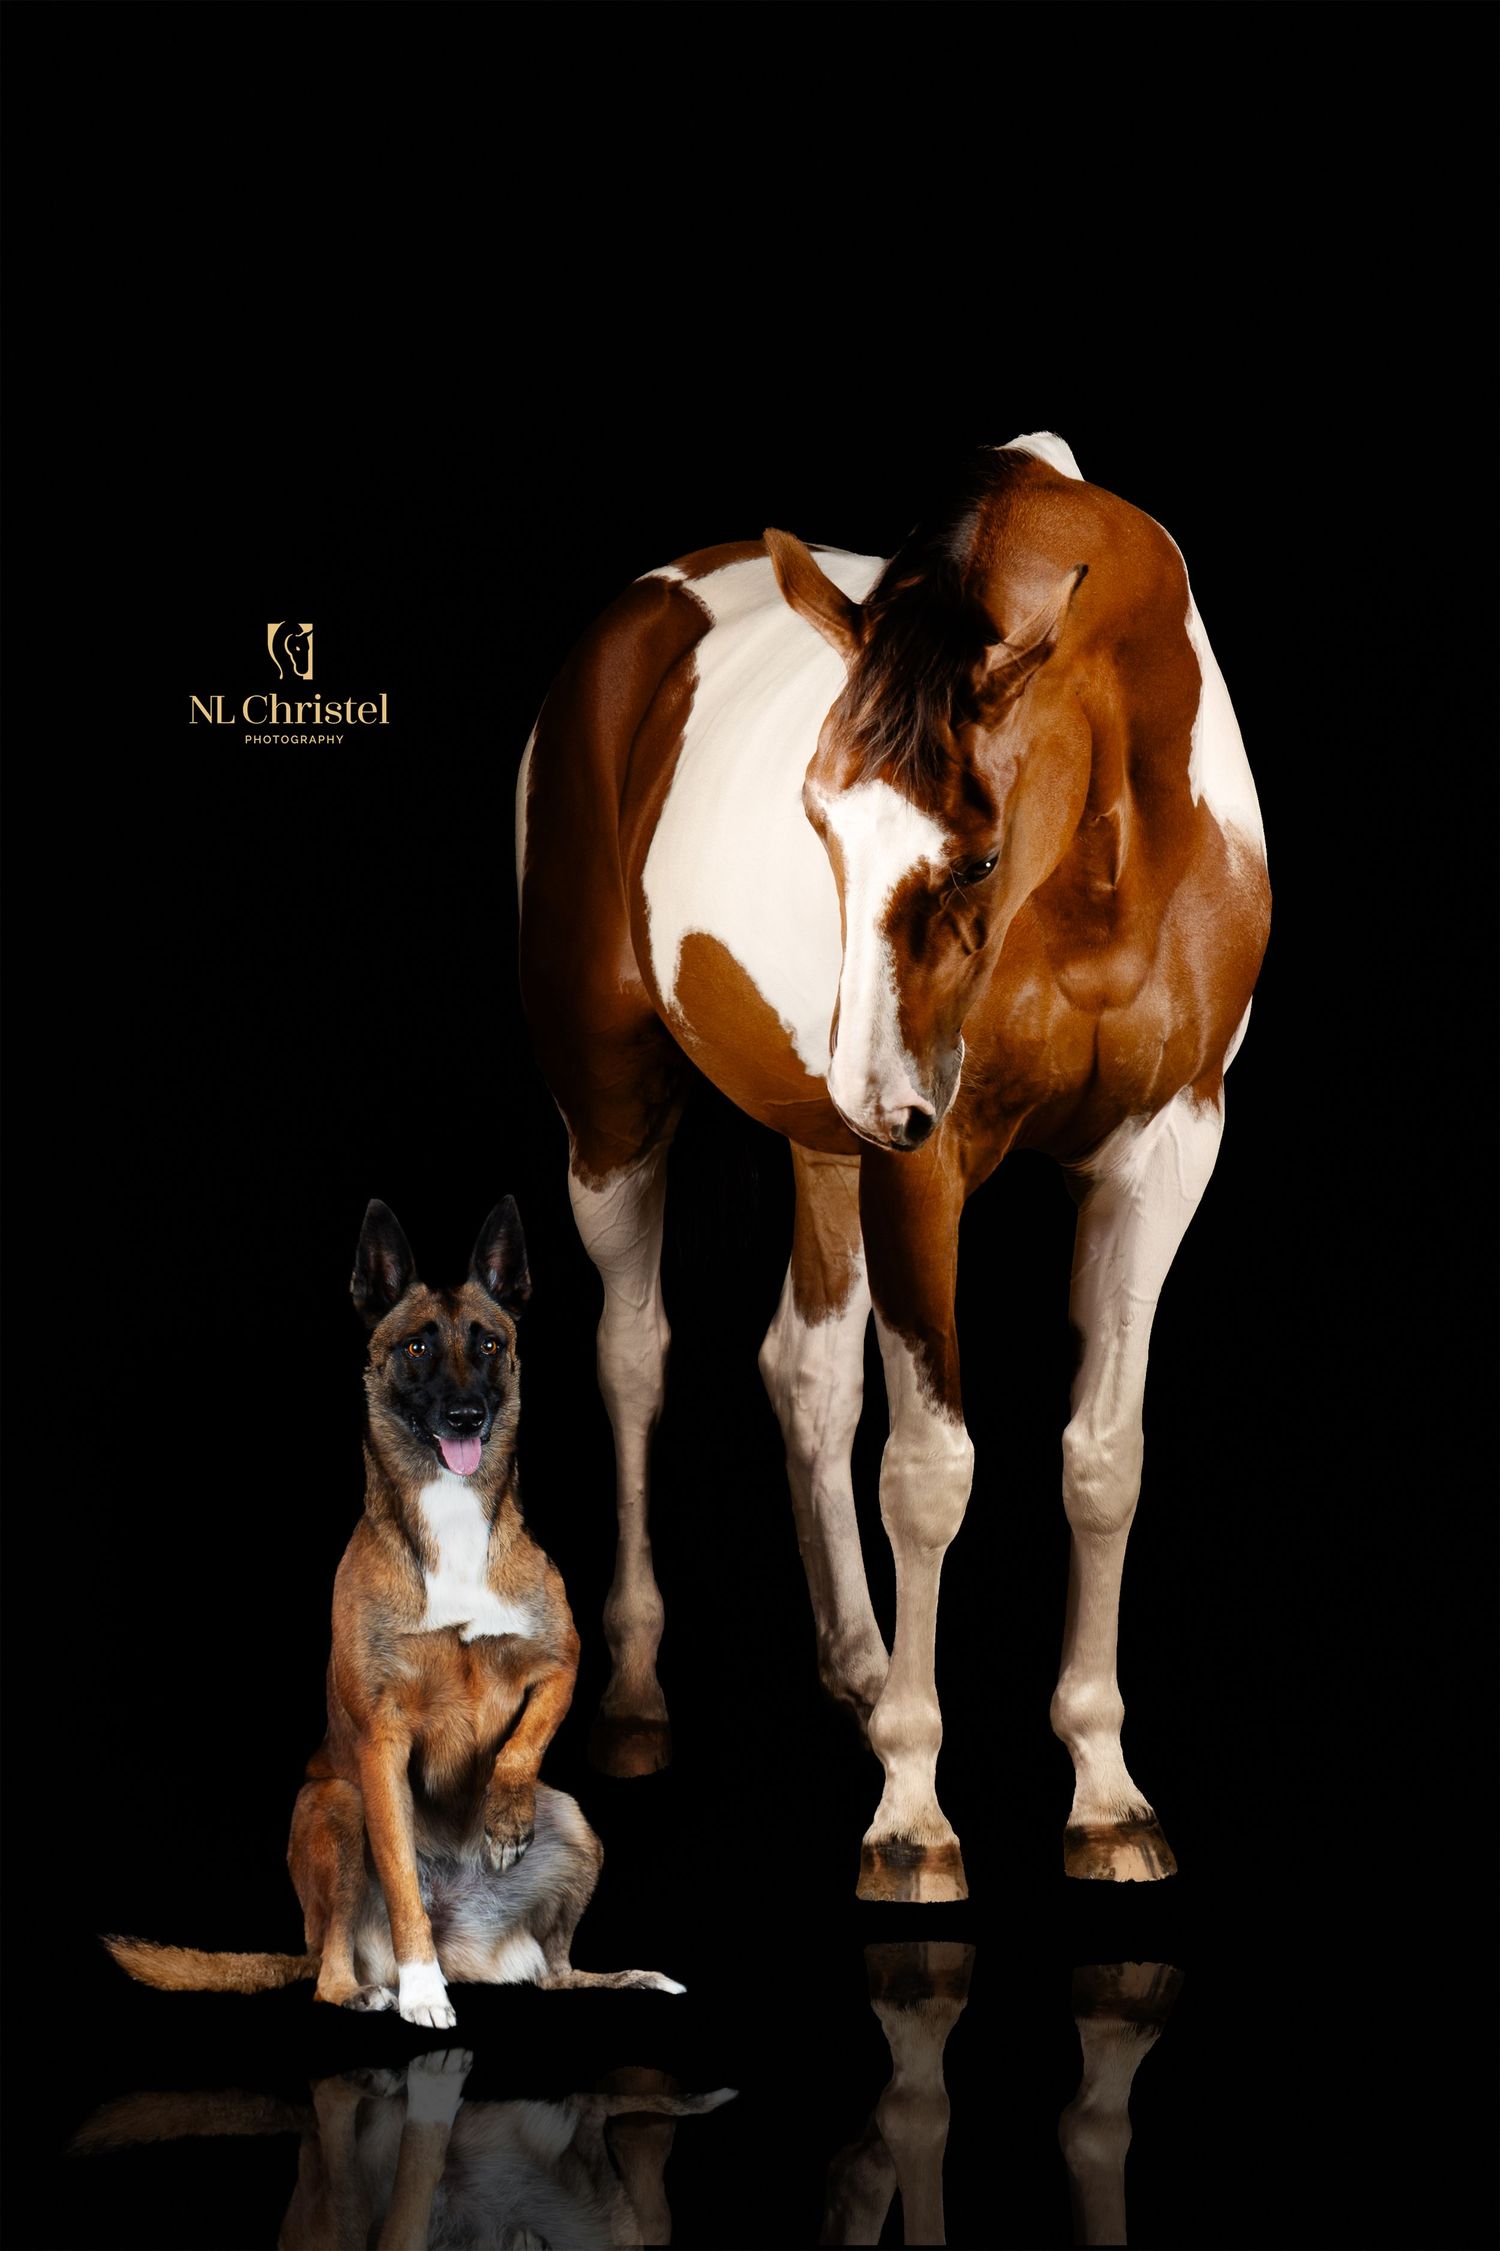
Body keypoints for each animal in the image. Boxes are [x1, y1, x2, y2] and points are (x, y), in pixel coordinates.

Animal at [515, 433, 1270, 1900]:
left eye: (974, 857)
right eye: (816, 821)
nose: (877, 1093)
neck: (1110, 843)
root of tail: (637, 613)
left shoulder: (1165, 1147)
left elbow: (1103, 1455)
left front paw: (1104, 1791)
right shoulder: (933, 1162)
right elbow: (929, 1472)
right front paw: (914, 1814)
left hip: (829, 1148)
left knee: (804, 1369)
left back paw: (862, 1667)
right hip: (623, 1103)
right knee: (633, 1356)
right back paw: (636, 1696)